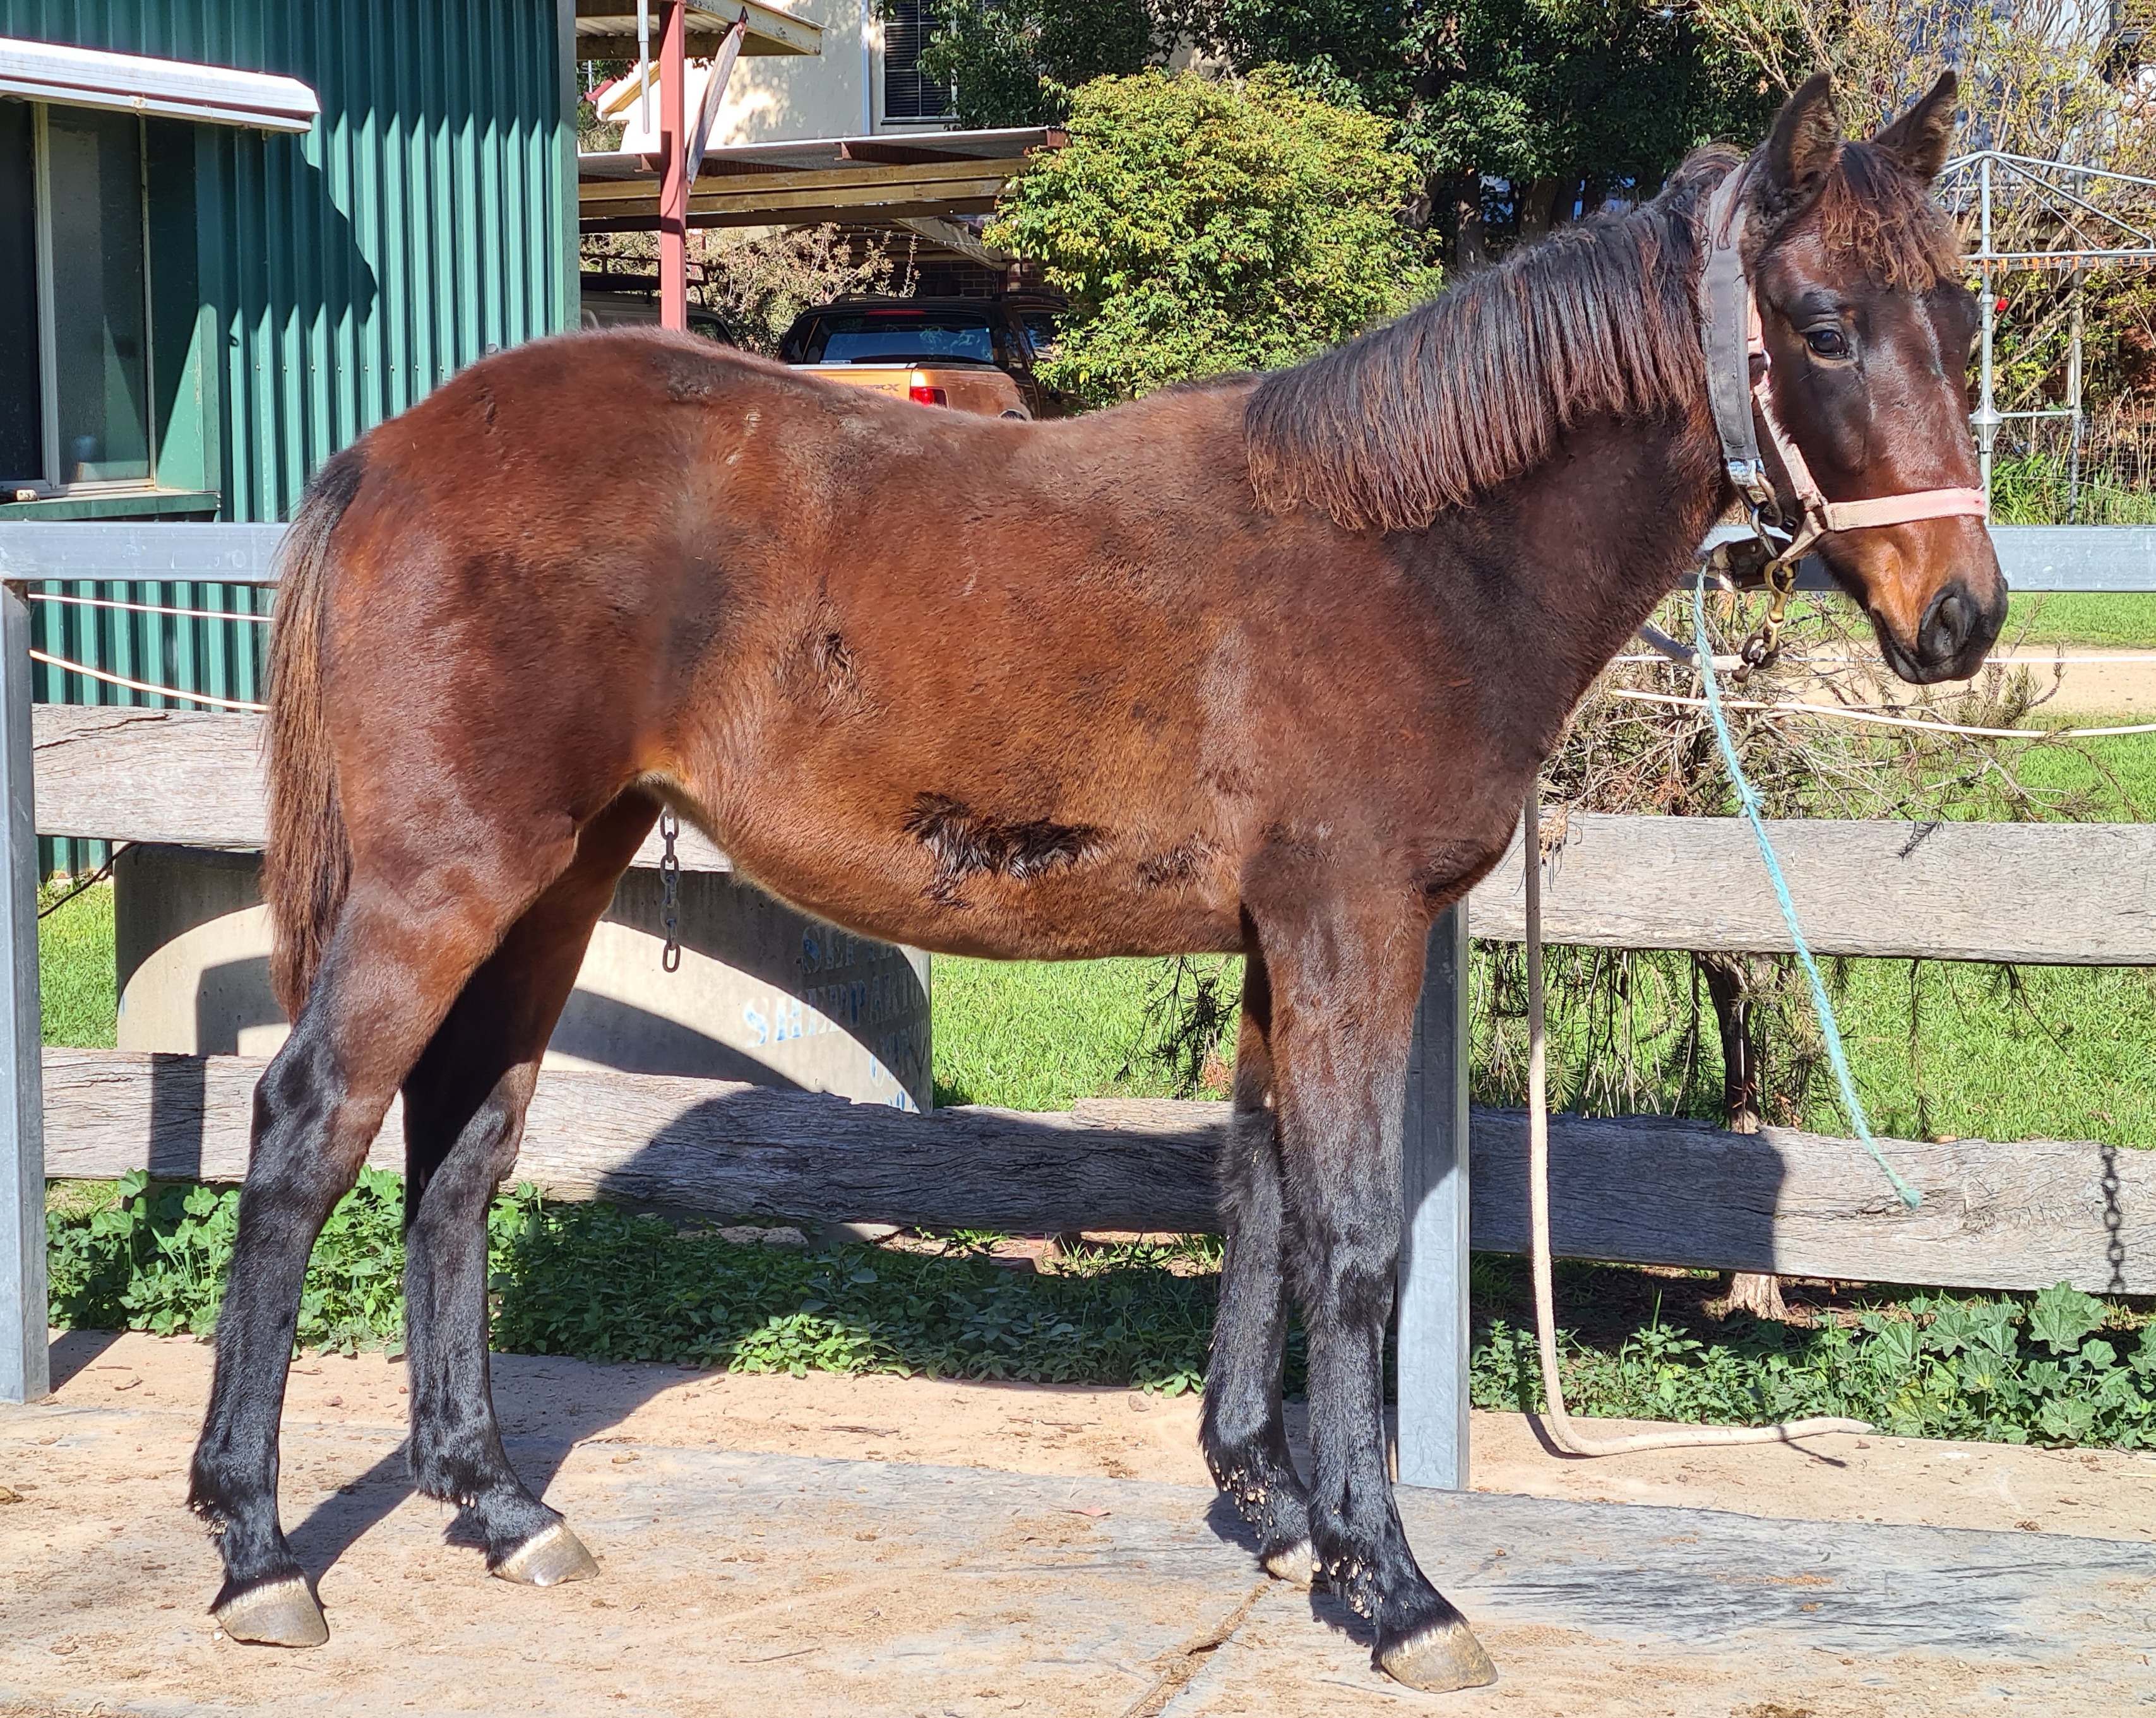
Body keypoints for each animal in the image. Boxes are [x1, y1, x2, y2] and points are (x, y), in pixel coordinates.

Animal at [188, 71, 2001, 1690]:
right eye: (1821, 324)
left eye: (1962, 318)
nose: (1961, 617)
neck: (1408, 548)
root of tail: (395, 449)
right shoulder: (1351, 933)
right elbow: (1355, 1237)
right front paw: (1394, 1585)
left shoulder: (1278, 944)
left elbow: (1259, 1198)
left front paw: (1276, 1509)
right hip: (446, 881)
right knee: (307, 1131)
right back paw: (260, 1551)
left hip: (559, 878)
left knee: (462, 1149)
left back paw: (494, 1504)